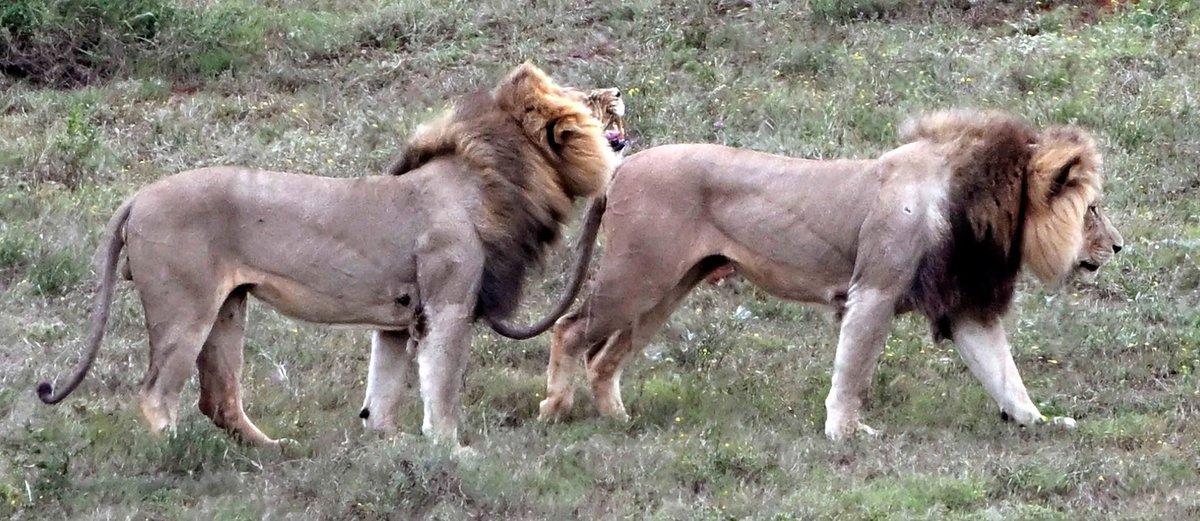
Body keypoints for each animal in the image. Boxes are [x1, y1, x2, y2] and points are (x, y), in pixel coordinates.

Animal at [36, 63, 616, 448]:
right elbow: (444, 387)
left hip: (227, 309)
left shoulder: (399, 321)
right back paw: (177, 455)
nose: (614, 88)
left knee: (218, 398)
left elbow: (384, 391)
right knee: (157, 394)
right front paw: (450, 452)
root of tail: (136, 196)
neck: (492, 179)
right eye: (585, 99)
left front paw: (386, 445)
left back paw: (270, 452)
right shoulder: (448, 308)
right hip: (185, 309)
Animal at [538, 110, 1124, 441]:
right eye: (1093, 209)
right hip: (638, 275)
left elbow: (1005, 375)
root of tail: (620, 170)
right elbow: (854, 368)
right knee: (569, 330)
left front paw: (1041, 424)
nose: (1120, 246)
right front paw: (844, 432)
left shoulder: (964, 305)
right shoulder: (875, 291)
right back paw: (555, 410)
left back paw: (617, 420)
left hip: (665, 288)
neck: (983, 207)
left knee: (604, 356)